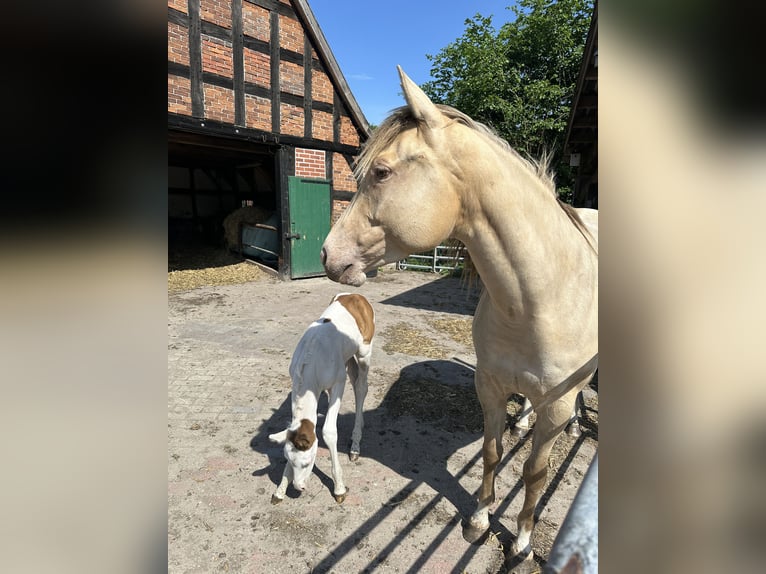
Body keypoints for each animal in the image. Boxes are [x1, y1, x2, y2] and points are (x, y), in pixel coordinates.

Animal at [270, 294, 376, 506]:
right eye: (289, 460)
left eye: (306, 463)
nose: (299, 487)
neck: (311, 361)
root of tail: (357, 296)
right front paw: (280, 490)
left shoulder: (337, 384)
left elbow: (328, 432)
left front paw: (339, 489)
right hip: (347, 357)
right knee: (355, 380)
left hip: (364, 352)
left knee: (361, 387)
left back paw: (355, 446)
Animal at [324, 67, 600, 564]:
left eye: (381, 172)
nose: (327, 254)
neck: (538, 300)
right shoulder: (489, 387)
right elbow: (492, 453)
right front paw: (479, 519)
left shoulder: (555, 404)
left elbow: (534, 472)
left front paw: (522, 541)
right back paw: (523, 419)